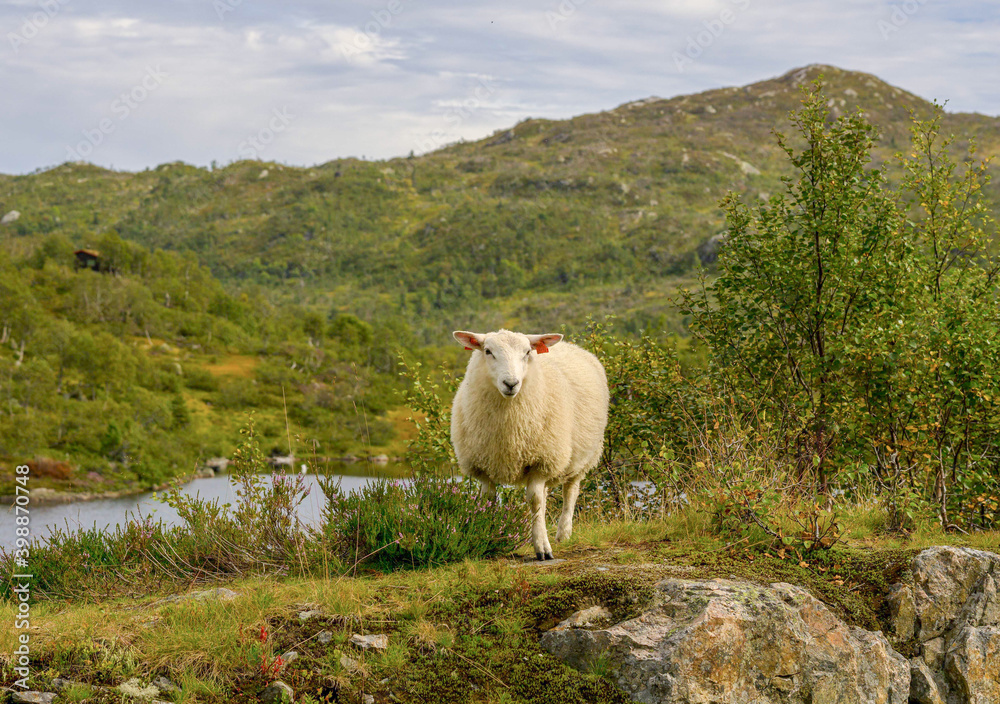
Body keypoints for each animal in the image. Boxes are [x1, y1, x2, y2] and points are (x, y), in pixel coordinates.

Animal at [450, 329, 609, 560]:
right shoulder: (484, 466)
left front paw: (542, 547)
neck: (509, 432)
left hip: (583, 457)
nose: (511, 383)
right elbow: (488, 502)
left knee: (570, 492)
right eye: (487, 351)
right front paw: (488, 537)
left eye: (527, 352)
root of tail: (572, 346)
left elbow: (535, 501)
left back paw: (563, 533)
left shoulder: (541, 461)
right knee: (546, 496)